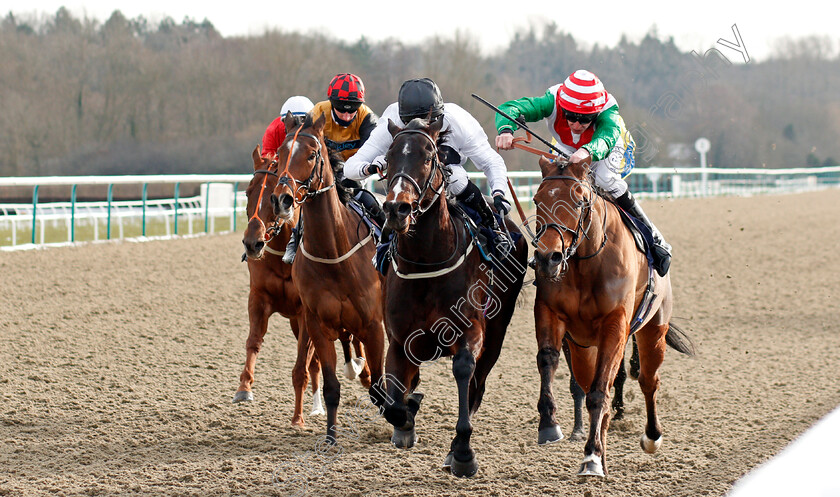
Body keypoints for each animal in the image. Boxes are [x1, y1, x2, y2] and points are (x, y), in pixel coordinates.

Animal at [236, 141, 368, 424]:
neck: (281, 256)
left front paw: (297, 418)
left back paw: (360, 371)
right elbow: (254, 341)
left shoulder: (306, 310)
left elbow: (302, 365)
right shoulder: (259, 298)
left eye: (271, 197)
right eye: (248, 192)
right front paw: (244, 387)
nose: (252, 243)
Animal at [270, 112, 386, 442]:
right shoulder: (318, 324)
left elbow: (380, 385)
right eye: (281, 153)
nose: (281, 200)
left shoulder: (374, 324)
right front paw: (331, 436)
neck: (335, 254)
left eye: (311, 154)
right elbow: (332, 384)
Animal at [378, 117, 524, 476]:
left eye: (429, 156)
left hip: (497, 334)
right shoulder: (398, 340)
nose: (397, 208)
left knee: (478, 384)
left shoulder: (471, 330)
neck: (427, 260)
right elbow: (394, 402)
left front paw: (462, 452)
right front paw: (407, 419)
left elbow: (463, 369)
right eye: (387, 158)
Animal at [532, 153, 696, 474]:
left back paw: (651, 437)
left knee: (647, 380)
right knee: (590, 384)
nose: (547, 257)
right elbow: (548, 361)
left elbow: (600, 391)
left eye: (579, 201)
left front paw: (592, 456)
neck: (585, 261)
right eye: (536, 199)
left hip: (652, 331)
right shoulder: (550, 313)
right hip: (583, 349)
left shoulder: (615, 326)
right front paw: (549, 425)